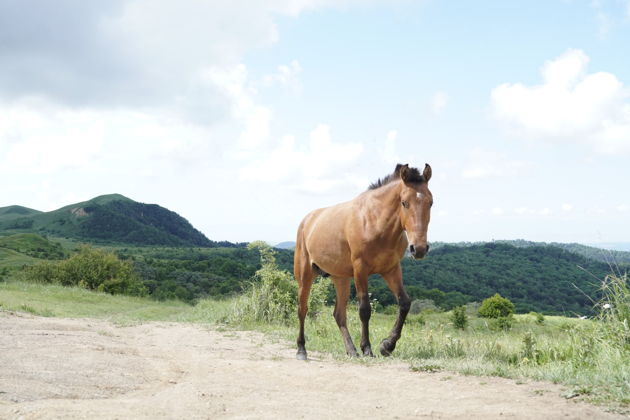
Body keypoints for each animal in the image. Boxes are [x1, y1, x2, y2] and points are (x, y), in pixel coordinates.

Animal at [296, 162, 434, 360]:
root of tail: (307, 220)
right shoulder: (360, 269)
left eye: (430, 202)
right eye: (404, 203)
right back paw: (301, 350)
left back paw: (351, 350)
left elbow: (404, 303)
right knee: (302, 309)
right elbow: (365, 309)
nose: (419, 248)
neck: (375, 221)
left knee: (339, 314)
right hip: (305, 275)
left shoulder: (391, 269)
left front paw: (387, 345)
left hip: (341, 278)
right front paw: (367, 348)